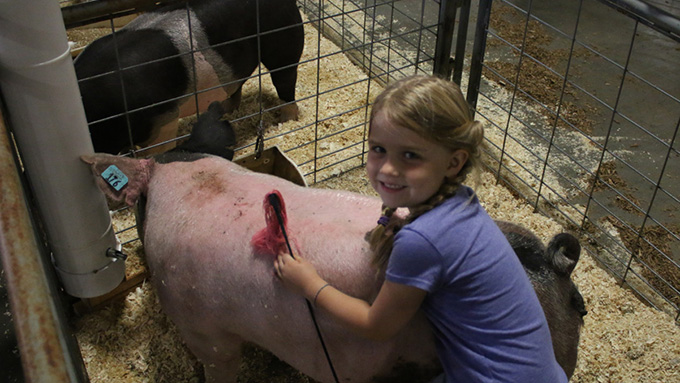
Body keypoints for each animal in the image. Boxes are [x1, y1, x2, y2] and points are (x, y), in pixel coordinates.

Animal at [72, 0, 302, 154]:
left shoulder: (164, 119)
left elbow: (158, 151)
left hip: (284, 40)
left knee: (285, 80)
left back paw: (286, 120)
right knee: (236, 86)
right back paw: (226, 109)